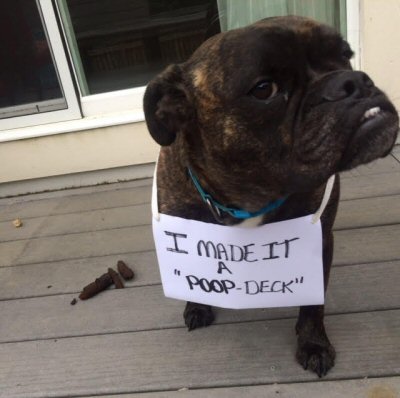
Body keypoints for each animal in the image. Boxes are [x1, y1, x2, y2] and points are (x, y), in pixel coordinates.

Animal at [142, 15, 398, 376]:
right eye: (264, 90)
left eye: (345, 55)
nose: (353, 81)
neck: (252, 194)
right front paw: (198, 304)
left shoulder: (318, 240)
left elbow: (313, 303)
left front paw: (313, 343)